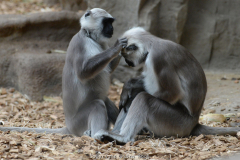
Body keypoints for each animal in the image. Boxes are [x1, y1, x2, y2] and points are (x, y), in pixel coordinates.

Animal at [0, 8, 127, 137]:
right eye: (106, 22)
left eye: (111, 22)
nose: (112, 28)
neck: (90, 36)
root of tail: (69, 127)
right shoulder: (80, 43)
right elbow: (83, 73)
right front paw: (116, 48)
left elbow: (108, 69)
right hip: (79, 123)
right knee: (98, 104)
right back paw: (97, 135)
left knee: (104, 100)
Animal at [94, 26, 240, 143]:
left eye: (126, 57)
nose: (128, 63)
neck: (153, 44)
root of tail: (194, 123)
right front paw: (129, 85)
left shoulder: (158, 59)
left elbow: (172, 94)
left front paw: (131, 87)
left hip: (176, 123)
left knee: (144, 98)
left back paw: (122, 137)